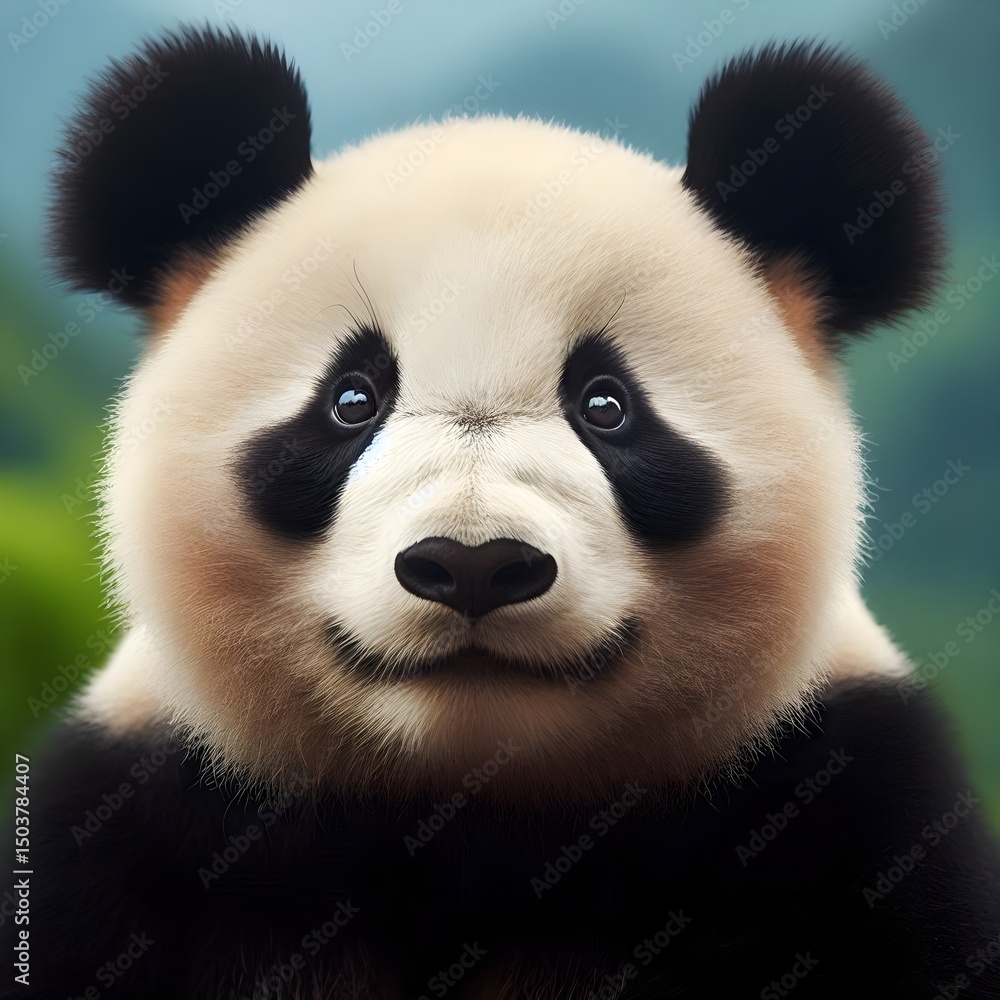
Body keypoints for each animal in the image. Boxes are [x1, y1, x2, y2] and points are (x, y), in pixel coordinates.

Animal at [6, 23, 1000, 1000]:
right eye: (352, 399)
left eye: (607, 406)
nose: (473, 564)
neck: (474, 817)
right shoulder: (137, 822)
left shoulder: (848, 802)